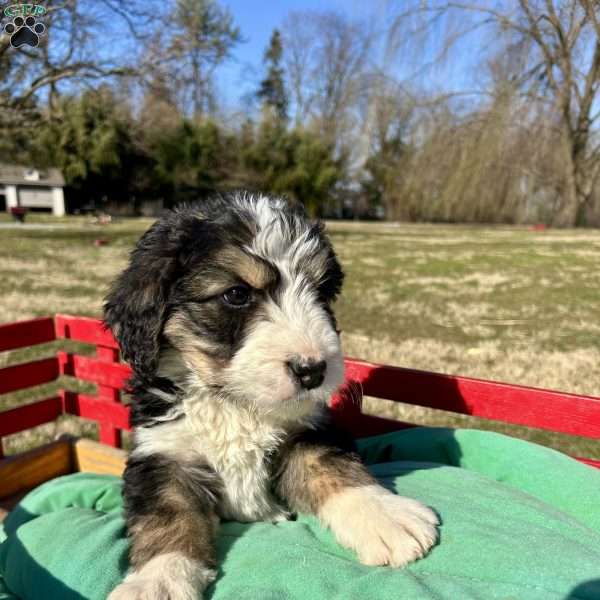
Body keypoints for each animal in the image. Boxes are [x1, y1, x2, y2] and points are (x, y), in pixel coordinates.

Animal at [105, 195, 438, 596]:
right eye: (237, 294)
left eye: (321, 292)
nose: (313, 370)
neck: (233, 402)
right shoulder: (163, 454)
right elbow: (167, 517)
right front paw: (158, 580)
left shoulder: (308, 430)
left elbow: (331, 466)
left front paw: (383, 515)